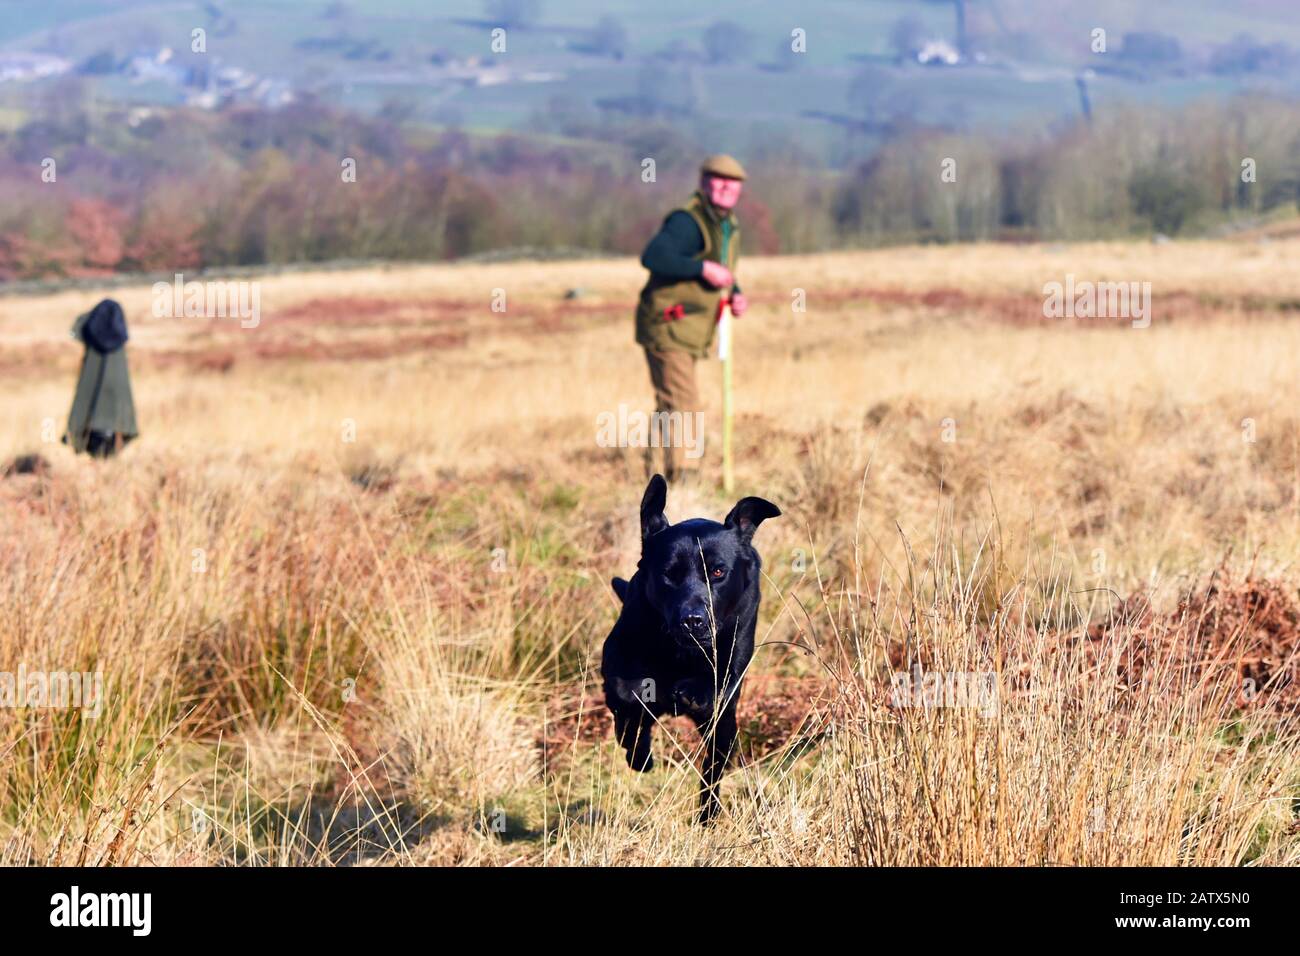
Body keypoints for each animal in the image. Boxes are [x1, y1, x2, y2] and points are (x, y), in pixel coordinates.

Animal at [600, 476, 780, 816]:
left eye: (718, 572)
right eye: (668, 575)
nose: (693, 620)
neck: (679, 652)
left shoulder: (729, 668)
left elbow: (713, 681)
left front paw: (691, 691)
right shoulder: (617, 659)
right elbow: (626, 694)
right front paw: (639, 752)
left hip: (723, 730)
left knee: (713, 769)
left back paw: (708, 814)